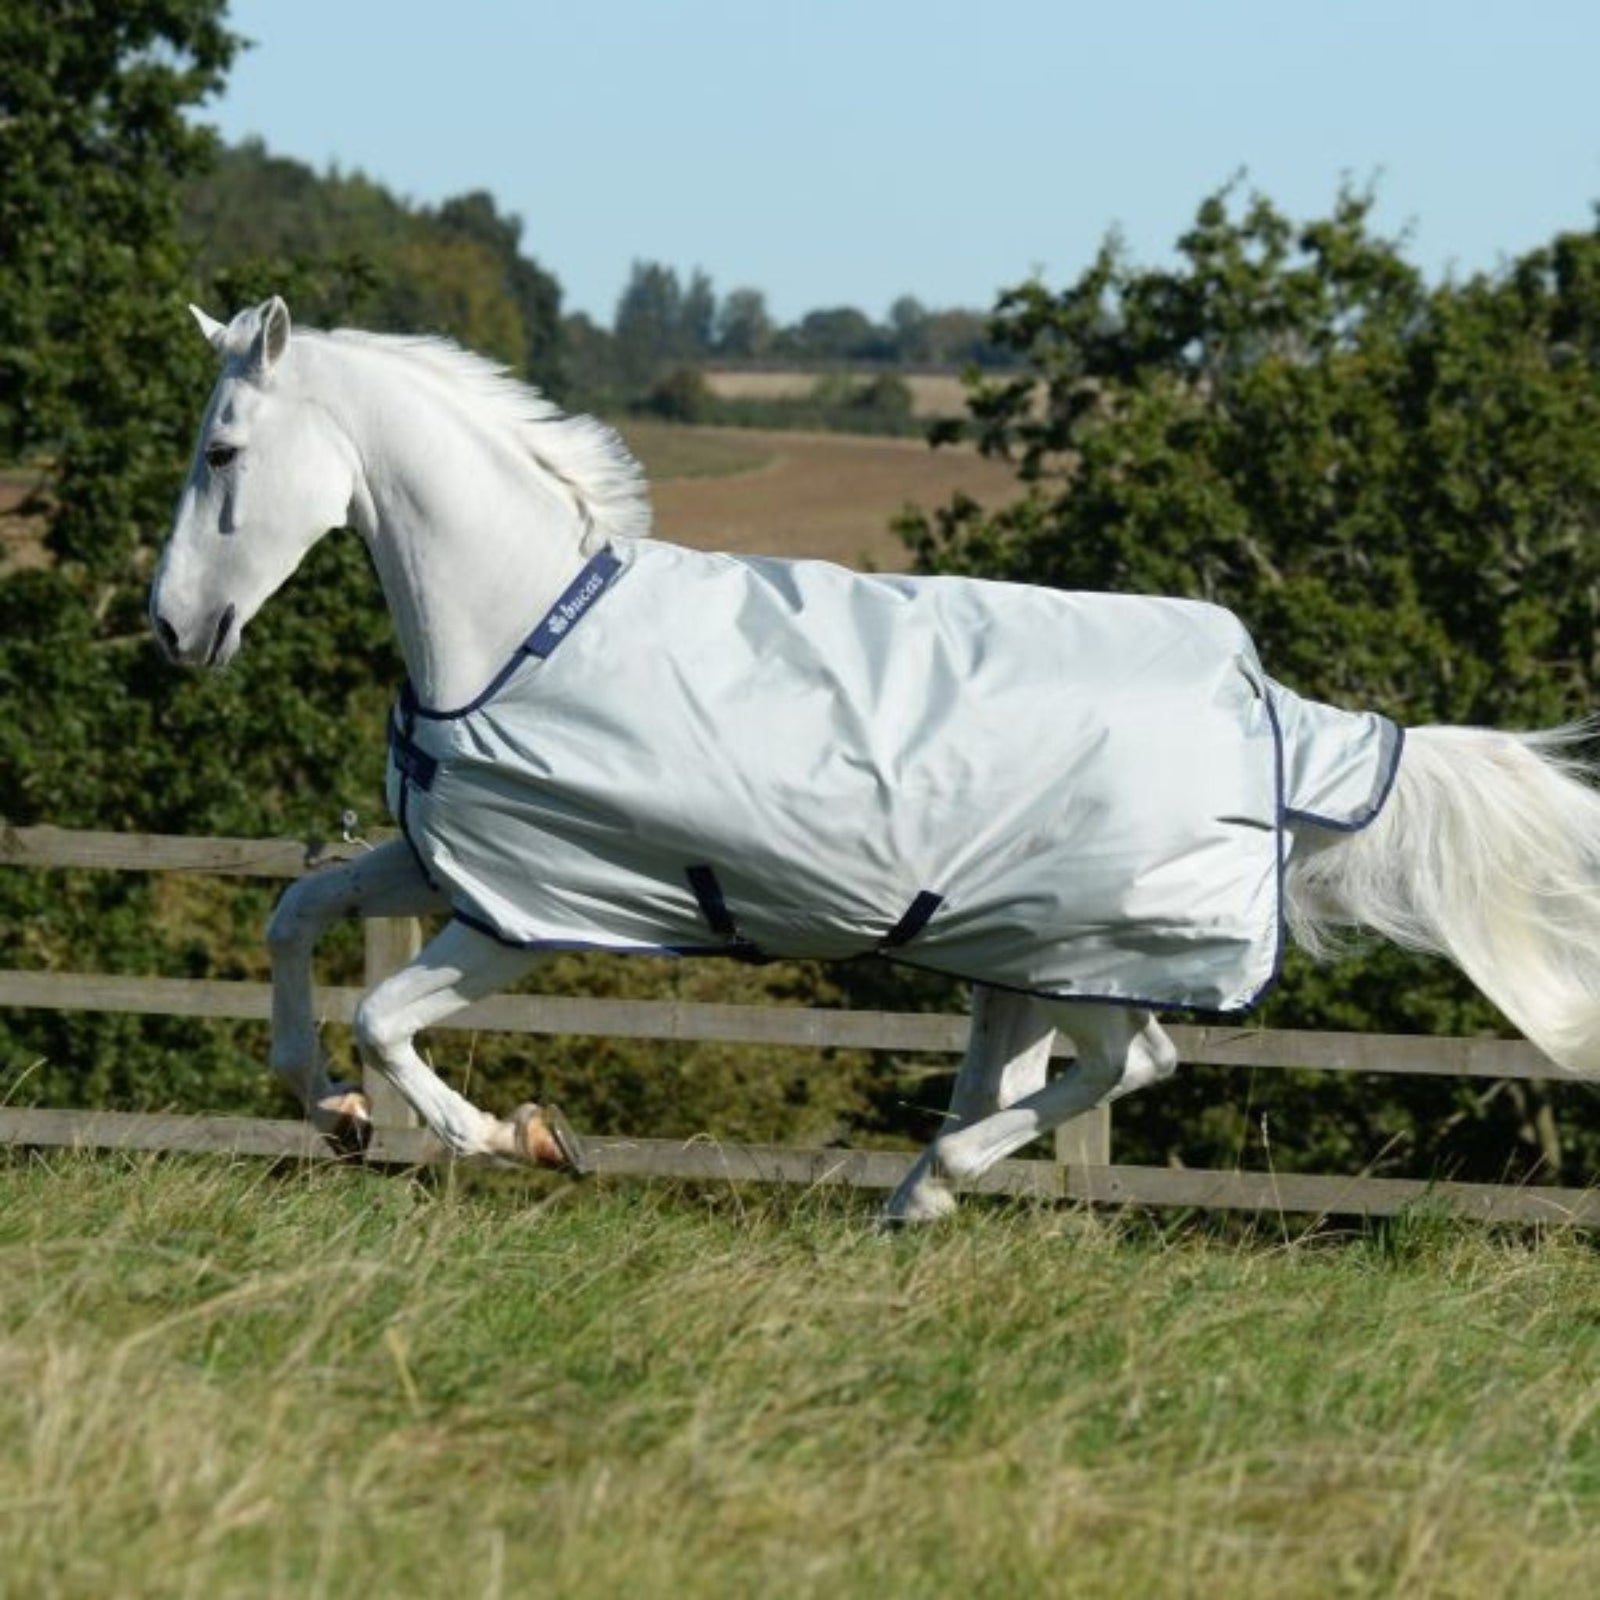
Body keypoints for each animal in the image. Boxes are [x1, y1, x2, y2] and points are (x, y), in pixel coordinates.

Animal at [149, 296, 1600, 1223]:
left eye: (222, 450)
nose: (170, 629)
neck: (523, 622)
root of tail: (1271, 708)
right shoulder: (446, 862)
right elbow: (295, 915)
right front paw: (330, 1109)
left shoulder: (530, 909)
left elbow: (388, 1017)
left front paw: (529, 1139)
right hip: (1019, 954)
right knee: (1029, 1072)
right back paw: (919, 1192)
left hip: (1091, 951)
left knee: (1133, 1064)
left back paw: (925, 1187)